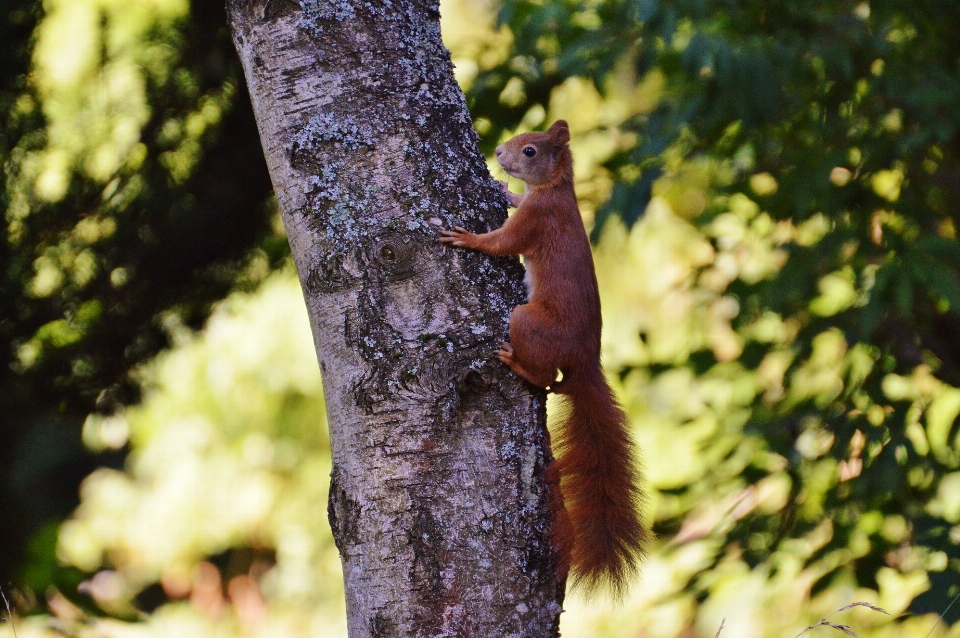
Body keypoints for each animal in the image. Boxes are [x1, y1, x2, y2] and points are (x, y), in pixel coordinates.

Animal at [438, 121, 648, 600]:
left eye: (530, 150)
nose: (498, 152)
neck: (556, 188)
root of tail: (585, 361)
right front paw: (503, 187)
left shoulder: (538, 219)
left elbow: (503, 241)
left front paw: (467, 238)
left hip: (528, 322)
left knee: (545, 376)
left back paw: (516, 364)